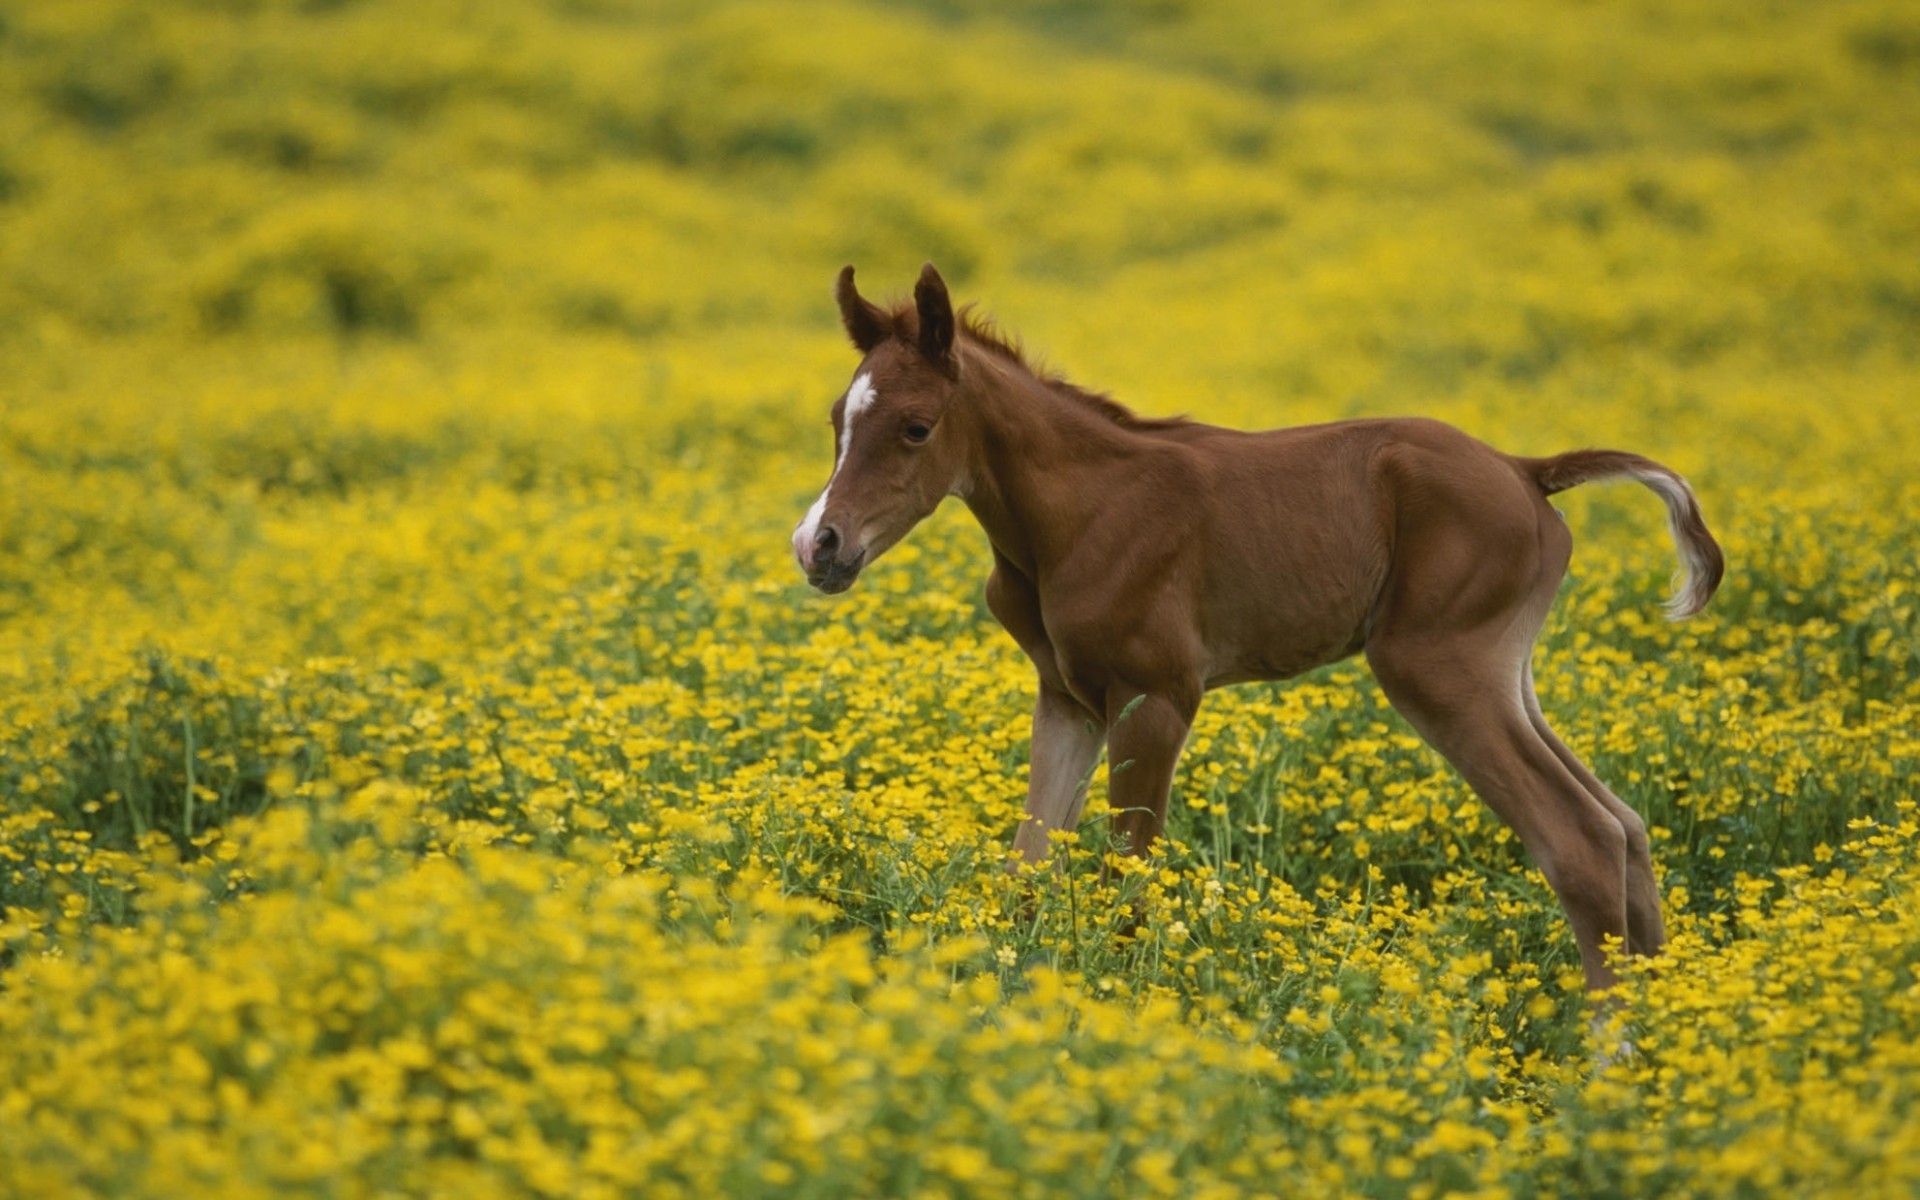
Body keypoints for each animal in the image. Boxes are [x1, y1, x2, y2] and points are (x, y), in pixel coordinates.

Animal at [791, 263, 1723, 993]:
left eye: (916, 427)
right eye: (837, 419)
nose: (818, 545)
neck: (1077, 512)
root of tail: (1527, 472)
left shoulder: (1159, 697)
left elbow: (1128, 876)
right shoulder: (1069, 699)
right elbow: (1028, 862)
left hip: (1437, 669)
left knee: (1579, 838)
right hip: (1506, 676)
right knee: (1626, 826)